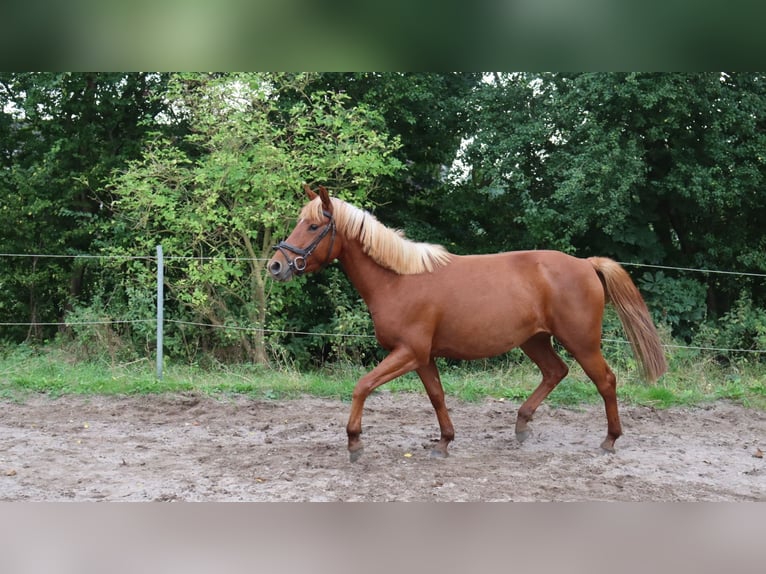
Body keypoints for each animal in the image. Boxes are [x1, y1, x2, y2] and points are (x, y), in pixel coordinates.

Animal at [270, 186, 664, 464]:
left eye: (314, 226)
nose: (277, 265)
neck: (399, 280)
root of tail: (586, 264)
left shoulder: (408, 352)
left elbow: (362, 386)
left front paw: (354, 442)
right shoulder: (423, 357)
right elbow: (437, 396)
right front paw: (444, 442)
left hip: (581, 341)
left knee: (606, 381)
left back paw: (609, 440)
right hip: (535, 340)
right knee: (556, 372)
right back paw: (522, 425)